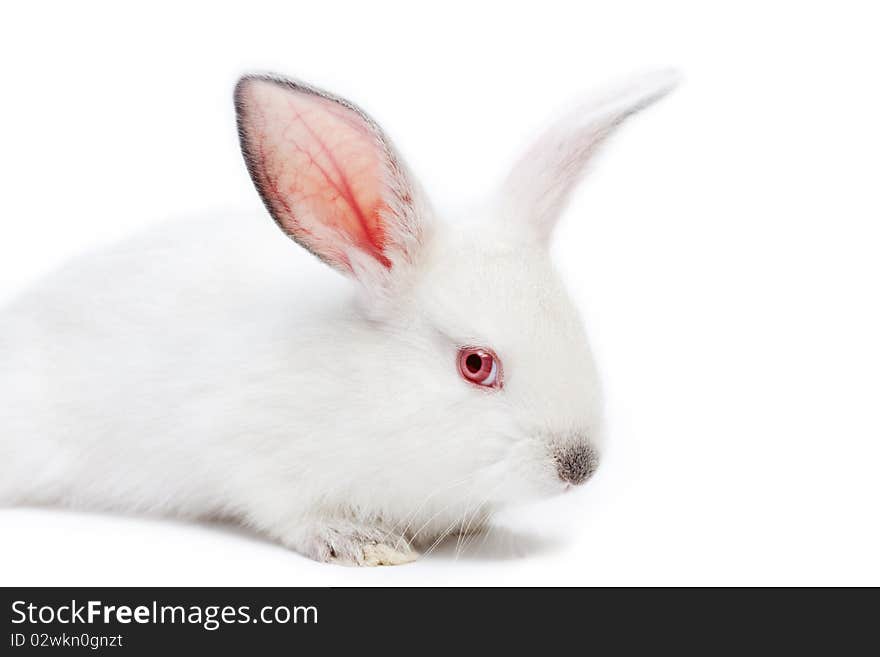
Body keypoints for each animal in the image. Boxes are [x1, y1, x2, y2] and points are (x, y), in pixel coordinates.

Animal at [0, 70, 672, 564]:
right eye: (476, 364)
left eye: (576, 326)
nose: (580, 466)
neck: (370, 390)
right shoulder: (249, 451)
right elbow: (292, 512)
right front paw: (367, 545)